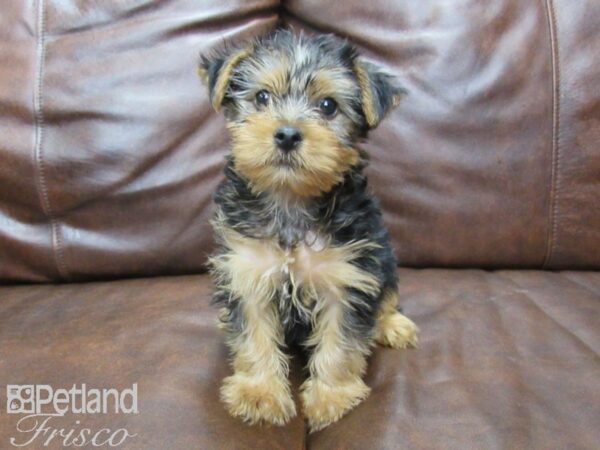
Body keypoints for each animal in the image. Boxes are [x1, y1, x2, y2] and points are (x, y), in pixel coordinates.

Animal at [197, 29, 418, 432]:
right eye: (262, 97)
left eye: (328, 106)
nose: (286, 134)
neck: (291, 201)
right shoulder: (247, 271)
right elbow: (254, 335)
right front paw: (260, 393)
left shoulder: (348, 275)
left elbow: (340, 342)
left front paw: (332, 397)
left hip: (383, 259)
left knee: (388, 295)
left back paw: (393, 324)